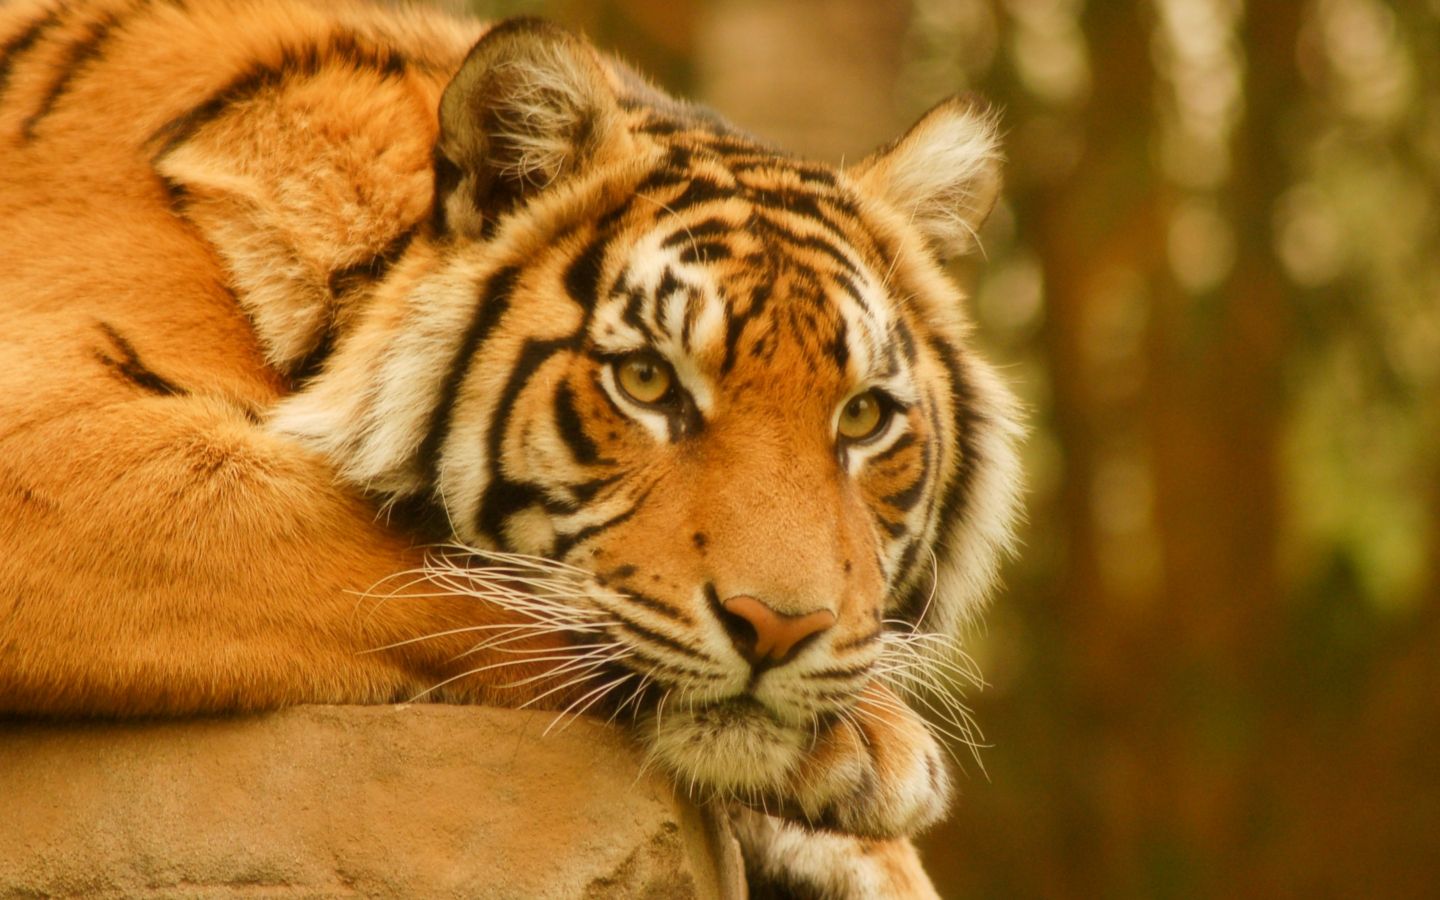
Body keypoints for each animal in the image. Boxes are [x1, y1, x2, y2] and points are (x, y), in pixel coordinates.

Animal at [0, 0, 1023, 895]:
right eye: (646, 381)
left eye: (861, 418)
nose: (779, 630)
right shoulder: (50, 438)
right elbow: (425, 568)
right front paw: (877, 744)